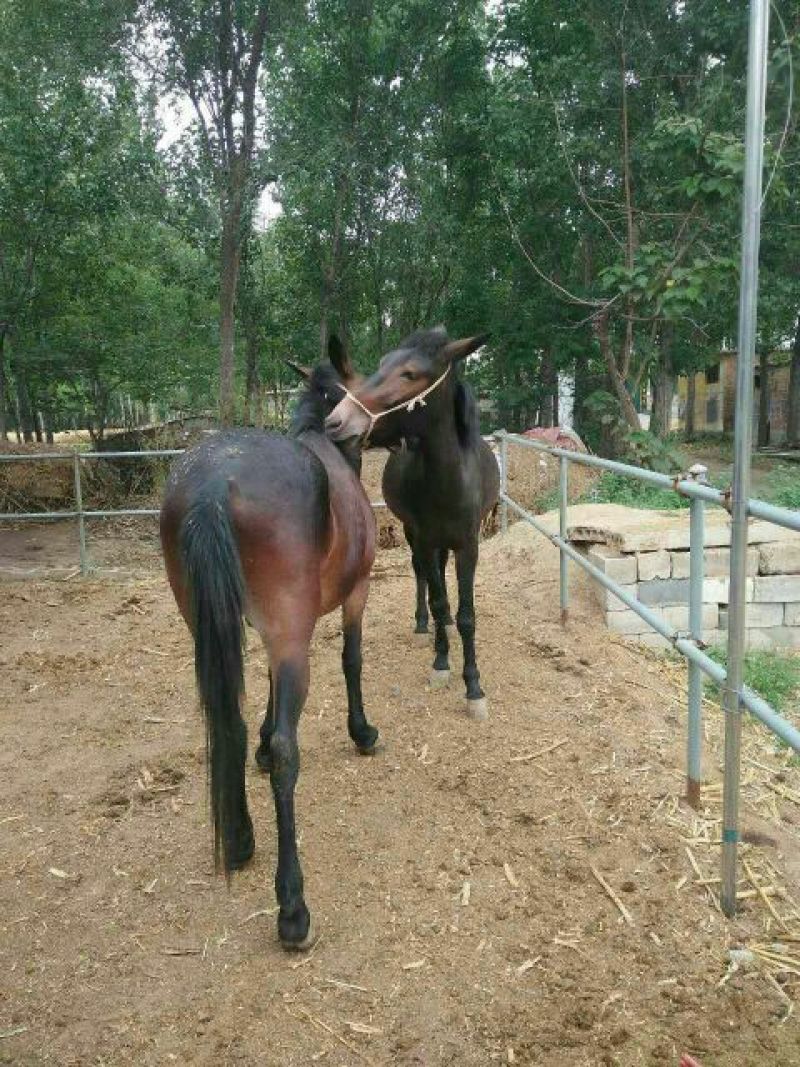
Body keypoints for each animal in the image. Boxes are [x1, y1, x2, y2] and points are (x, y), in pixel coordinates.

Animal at [159, 338, 378, 951]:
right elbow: (351, 659)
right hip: (291, 632)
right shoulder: (353, 596)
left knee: (225, 722)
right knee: (287, 751)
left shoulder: (263, 632)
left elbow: (264, 690)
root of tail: (214, 483)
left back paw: (238, 839)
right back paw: (293, 909)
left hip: (209, 624)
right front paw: (362, 732)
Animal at [325, 326, 498, 720]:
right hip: (413, 535)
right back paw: (425, 625)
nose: (336, 421)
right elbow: (438, 599)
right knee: (423, 576)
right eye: (382, 364)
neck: (448, 479)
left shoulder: (468, 547)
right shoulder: (425, 538)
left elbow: (466, 616)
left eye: (410, 374)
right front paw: (441, 663)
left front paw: (474, 687)